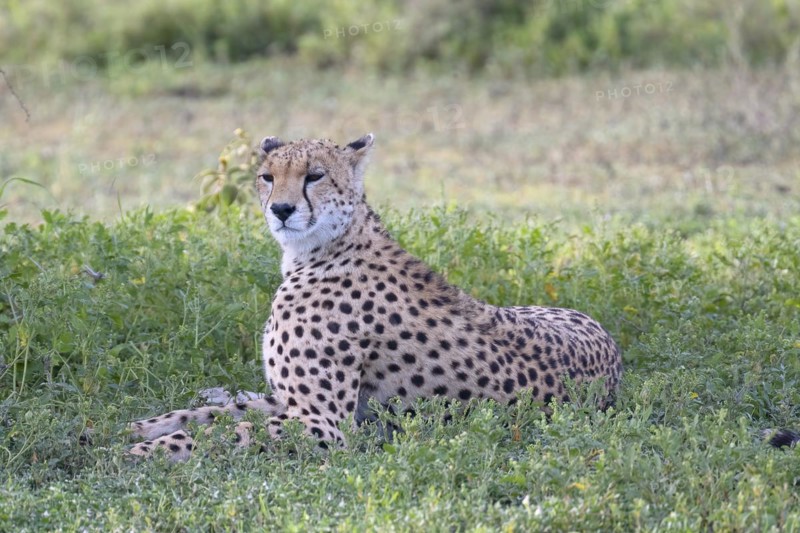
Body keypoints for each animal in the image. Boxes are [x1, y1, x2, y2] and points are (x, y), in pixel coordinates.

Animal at [127, 133, 624, 461]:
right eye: (267, 177)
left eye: (315, 176)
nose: (281, 209)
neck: (327, 247)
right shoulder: (292, 404)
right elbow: (218, 413)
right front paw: (142, 426)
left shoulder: (323, 424)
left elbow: (228, 430)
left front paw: (145, 450)